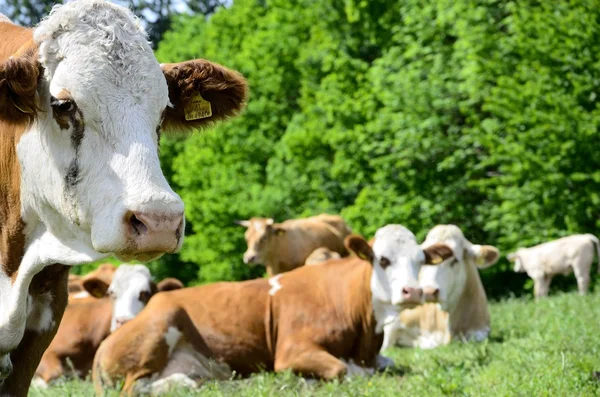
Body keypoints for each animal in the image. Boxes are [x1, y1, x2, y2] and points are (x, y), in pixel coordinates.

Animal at [91, 224, 452, 394]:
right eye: (383, 260)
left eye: (421, 260)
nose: (413, 291)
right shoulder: (292, 350)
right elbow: (340, 371)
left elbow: (389, 364)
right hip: (162, 323)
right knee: (132, 387)